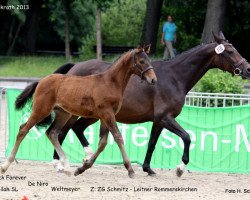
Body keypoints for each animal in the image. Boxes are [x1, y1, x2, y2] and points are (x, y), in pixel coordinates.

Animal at [0, 45, 156, 178]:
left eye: (149, 60)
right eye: (142, 61)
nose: (153, 79)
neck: (110, 82)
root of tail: (41, 81)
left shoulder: (106, 116)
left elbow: (103, 143)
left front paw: (83, 167)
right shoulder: (107, 113)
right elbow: (118, 137)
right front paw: (130, 169)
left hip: (64, 113)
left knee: (52, 133)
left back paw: (66, 166)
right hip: (41, 110)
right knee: (23, 129)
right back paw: (6, 165)